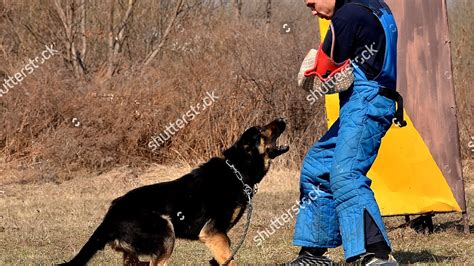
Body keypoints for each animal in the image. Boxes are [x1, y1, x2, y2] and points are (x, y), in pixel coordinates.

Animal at [59, 119, 288, 266]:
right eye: (261, 130)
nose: (282, 119)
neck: (237, 169)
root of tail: (109, 217)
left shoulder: (220, 238)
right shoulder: (214, 233)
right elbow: (230, 262)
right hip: (166, 233)